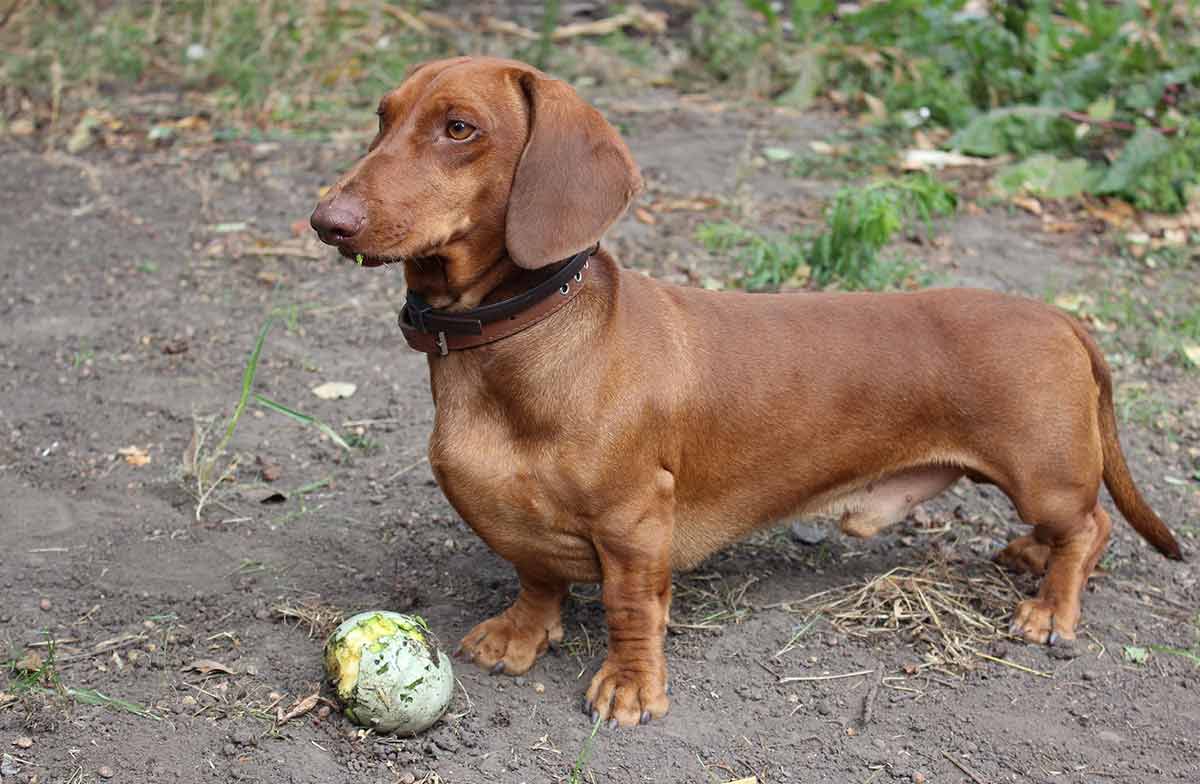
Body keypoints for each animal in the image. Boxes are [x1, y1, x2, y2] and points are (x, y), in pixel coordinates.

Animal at [309, 56, 1180, 729]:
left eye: (460, 128)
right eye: (382, 118)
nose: (327, 221)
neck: (521, 342)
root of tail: (1058, 315)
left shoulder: (634, 524)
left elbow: (631, 611)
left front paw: (631, 688)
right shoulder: (527, 527)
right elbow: (537, 575)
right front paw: (523, 634)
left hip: (1042, 473)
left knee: (1093, 525)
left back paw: (1051, 607)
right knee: (1072, 529)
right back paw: (1030, 556)